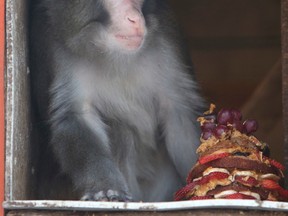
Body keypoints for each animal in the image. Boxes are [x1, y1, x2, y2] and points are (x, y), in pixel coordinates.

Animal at [28, 0, 205, 202]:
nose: (135, 18)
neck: (111, 55)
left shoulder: (167, 34)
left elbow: (178, 114)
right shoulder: (52, 44)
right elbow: (77, 117)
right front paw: (104, 188)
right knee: (120, 132)